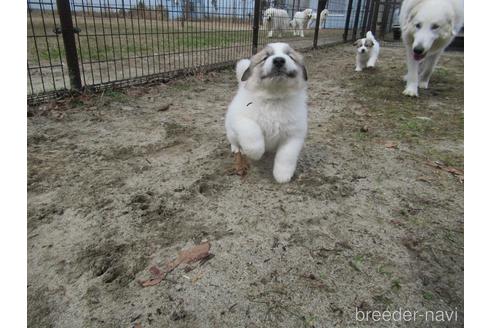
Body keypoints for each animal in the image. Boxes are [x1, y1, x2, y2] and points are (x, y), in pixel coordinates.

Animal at [226, 42, 310, 183]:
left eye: (290, 56)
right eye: (265, 57)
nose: (279, 60)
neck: (274, 99)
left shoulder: (293, 135)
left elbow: (287, 156)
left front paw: (282, 175)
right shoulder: (242, 118)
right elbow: (252, 133)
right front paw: (255, 153)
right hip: (231, 130)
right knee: (233, 139)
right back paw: (237, 148)